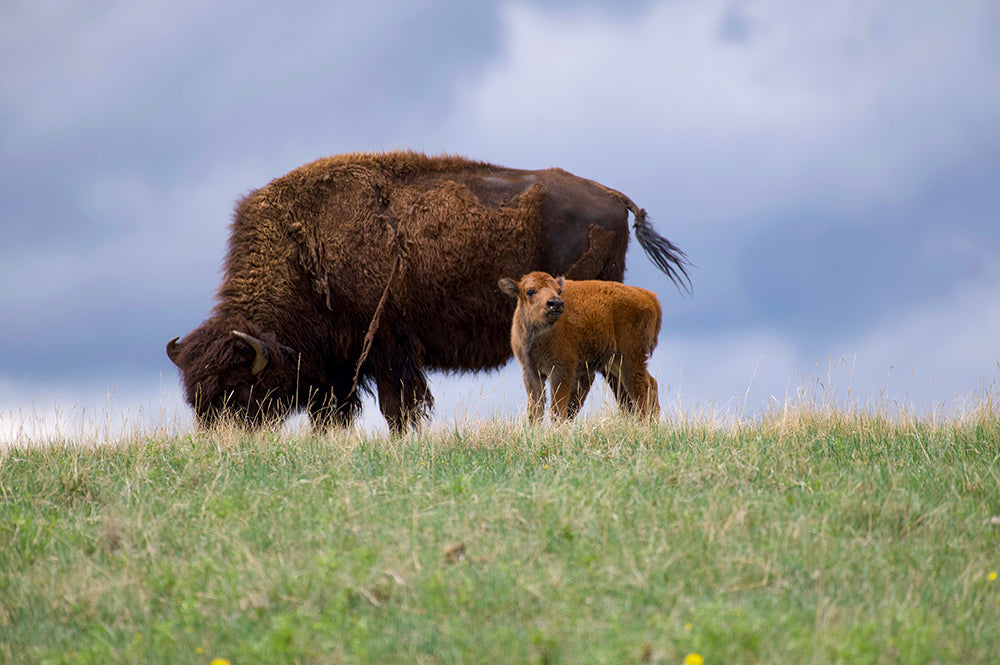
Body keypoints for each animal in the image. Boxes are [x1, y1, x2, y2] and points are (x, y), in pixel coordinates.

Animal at [496, 270, 660, 420]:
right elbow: (535, 411)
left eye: (558, 290)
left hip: (630, 360)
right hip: (614, 363)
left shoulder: (561, 371)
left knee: (642, 390)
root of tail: (648, 297)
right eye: (530, 291)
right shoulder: (531, 372)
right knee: (651, 384)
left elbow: (557, 410)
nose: (555, 303)